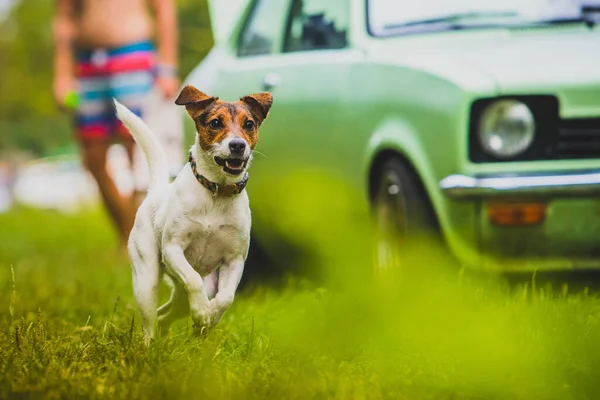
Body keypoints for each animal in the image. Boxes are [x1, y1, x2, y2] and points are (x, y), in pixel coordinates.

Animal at [113, 84, 274, 344]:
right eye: (216, 123)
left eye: (249, 124)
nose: (237, 145)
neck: (216, 192)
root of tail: (157, 190)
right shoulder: (173, 249)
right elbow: (194, 280)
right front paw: (201, 310)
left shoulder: (235, 259)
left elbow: (226, 297)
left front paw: (210, 316)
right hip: (147, 278)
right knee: (150, 320)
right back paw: (149, 347)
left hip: (178, 295)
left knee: (164, 314)